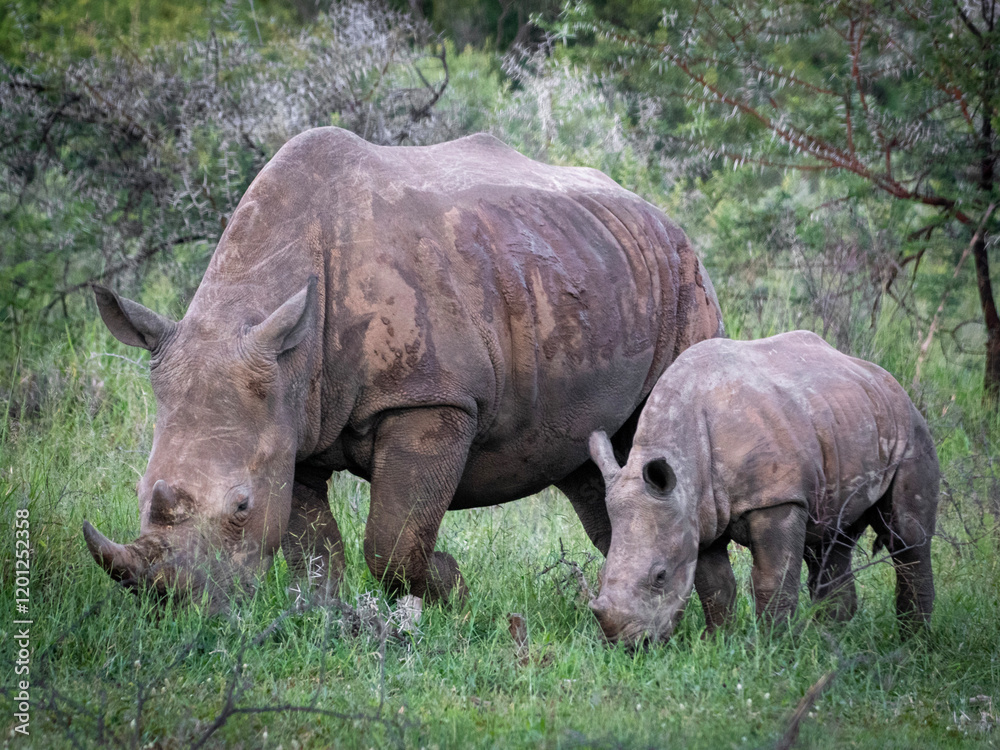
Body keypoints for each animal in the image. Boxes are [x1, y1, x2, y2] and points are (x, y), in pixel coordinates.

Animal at [83, 126, 724, 613]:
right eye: (139, 489)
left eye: (241, 506)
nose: (176, 608)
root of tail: (665, 218)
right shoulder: (293, 417)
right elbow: (310, 542)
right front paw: (320, 614)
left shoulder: (430, 397)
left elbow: (393, 540)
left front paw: (453, 589)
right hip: (587, 267)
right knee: (590, 469)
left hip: (685, 283)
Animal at [587, 330, 939, 645]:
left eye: (660, 576)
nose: (629, 646)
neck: (682, 458)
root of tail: (887, 379)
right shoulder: (698, 514)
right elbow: (714, 585)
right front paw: (718, 642)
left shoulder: (777, 499)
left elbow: (773, 579)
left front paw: (772, 646)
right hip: (843, 420)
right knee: (830, 541)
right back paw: (830, 639)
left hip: (912, 432)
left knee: (907, 537)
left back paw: (913, 643)